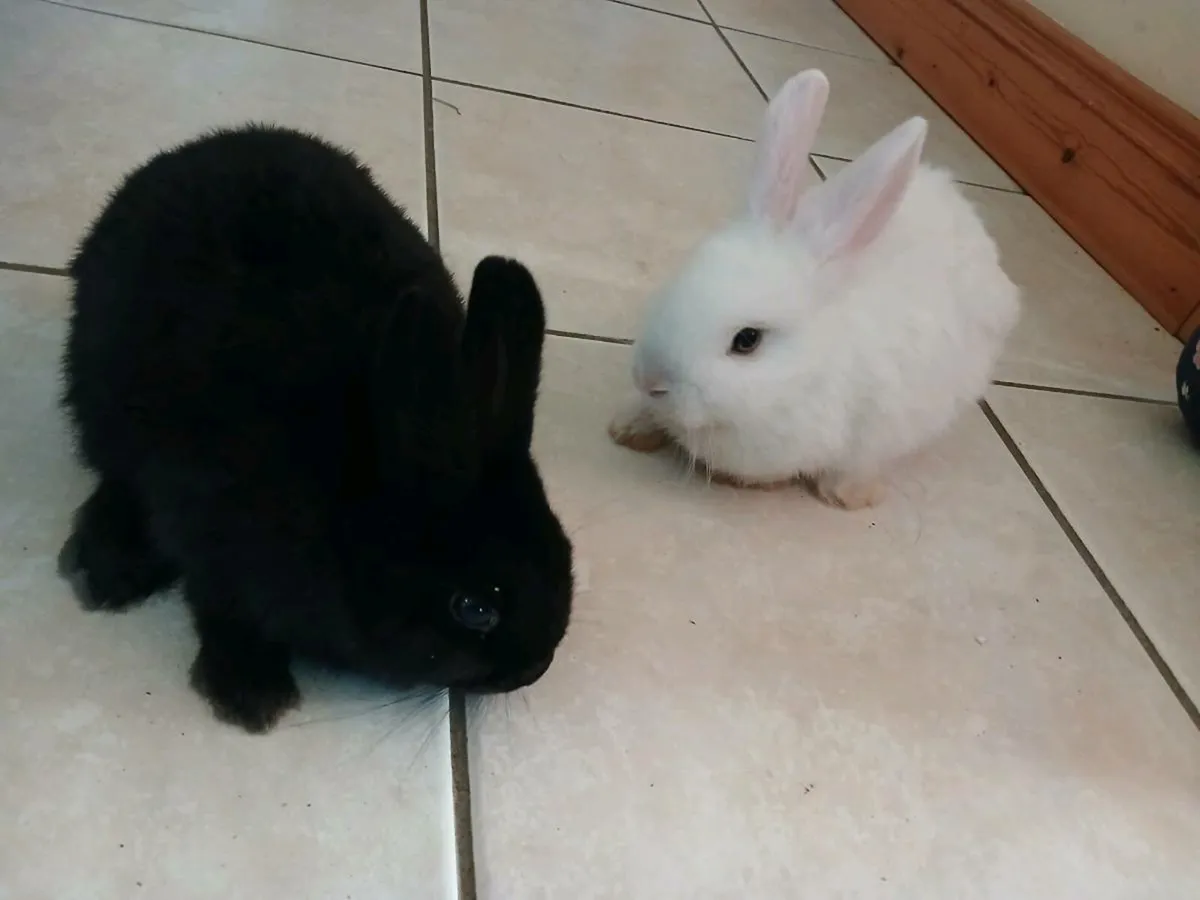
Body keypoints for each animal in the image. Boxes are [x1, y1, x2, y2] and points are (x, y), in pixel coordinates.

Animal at [58, 124, 574, 733]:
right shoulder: (208, 524)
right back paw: (106, 568)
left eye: (564, 555)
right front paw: (252, 694)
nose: (534, 668)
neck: (349, 506)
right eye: (475, 609)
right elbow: (221, 603)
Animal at [609, 69, 1020, 510]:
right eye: (675, 284)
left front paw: (849, 497)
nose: (649, 380)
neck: (807, 373)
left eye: (747, 340)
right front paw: (628, 428)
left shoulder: (877, 429)